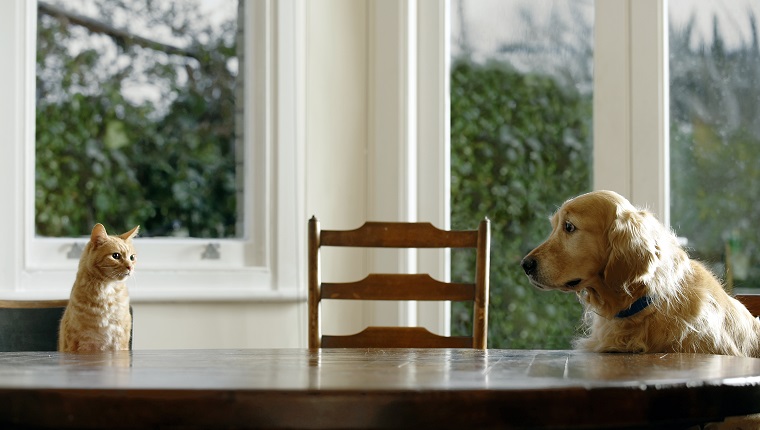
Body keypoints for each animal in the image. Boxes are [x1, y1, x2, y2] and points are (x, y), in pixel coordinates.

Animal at [58, 223, 140, 352]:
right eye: (116, 256)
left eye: (132, 257)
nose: (130, 267)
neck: (107, 291)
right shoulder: (77, 342)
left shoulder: (120, 341)